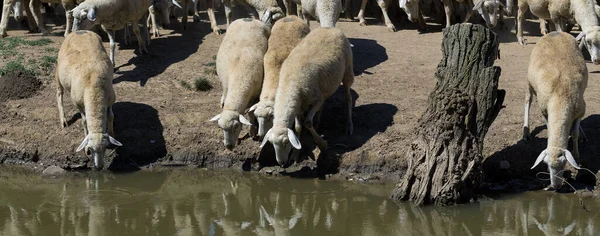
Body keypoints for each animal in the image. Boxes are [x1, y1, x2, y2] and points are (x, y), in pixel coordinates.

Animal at [55, 30, 123, 170]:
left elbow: (111, 116)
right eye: (91, 149)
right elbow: (84, 121)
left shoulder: (110, 100)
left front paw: (112, 134)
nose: (99, 167)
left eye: (105, 148)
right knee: (59, 94)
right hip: (58, 71)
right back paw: (63, 119)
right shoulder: (79, 104)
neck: (94, 90)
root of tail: (78, 31)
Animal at [209, 18, 270, 151]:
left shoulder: (255, 96)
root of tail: (247, 19)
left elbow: (251, 114)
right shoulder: (227, 85)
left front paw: (252, 132)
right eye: (220, 128)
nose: (229, 146)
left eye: (237, 126)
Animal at [260, 27, 354, 166]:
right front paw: (295, 154)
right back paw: (319, 121)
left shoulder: (316, 100)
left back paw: (349, 125)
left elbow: (308, 123)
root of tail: (331, 28)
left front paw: (323, 144)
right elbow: (298, 127)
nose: (281, 163)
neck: (290, 84)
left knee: (348, 98)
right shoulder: (298, 105)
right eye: (271, 143)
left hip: (348, 70)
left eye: (286, 142)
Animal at [524, 30, 588, 190]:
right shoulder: (544, 111)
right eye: (546, 164)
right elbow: (549, 130)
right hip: (529, 81)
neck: (560, 98)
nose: (555, 186)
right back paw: (526, 131)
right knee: (528, 99)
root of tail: (556, 31)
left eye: (564, 163)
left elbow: (575, 133)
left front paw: (577, 156)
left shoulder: (580, 109)